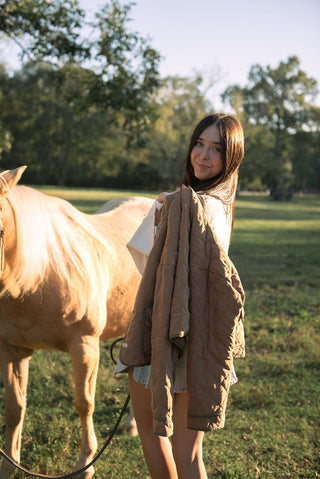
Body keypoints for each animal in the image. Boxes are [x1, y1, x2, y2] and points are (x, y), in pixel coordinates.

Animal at [0, 167, 154, 478]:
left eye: (0, 231)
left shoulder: (84, 346)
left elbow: (84, 404)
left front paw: (85, 465)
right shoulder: (13, 351)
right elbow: (14, 408)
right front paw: (8, 465)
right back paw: (132, 425)